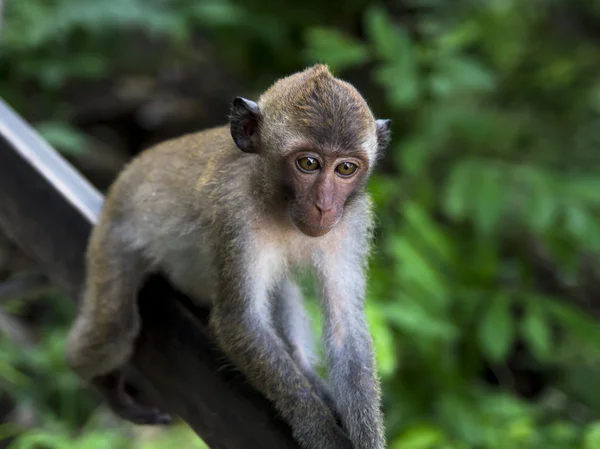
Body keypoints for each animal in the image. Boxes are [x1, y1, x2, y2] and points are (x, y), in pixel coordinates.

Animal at [65, 64, 392, 448]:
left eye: (345, 169)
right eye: (309, 163)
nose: (324, 206)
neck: (278, 203)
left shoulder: (351, 221)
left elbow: (345, 328)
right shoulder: (234, 211)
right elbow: (239, 321)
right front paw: (322, 432)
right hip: (113, 236)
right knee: (112, 328)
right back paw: (100, 380)